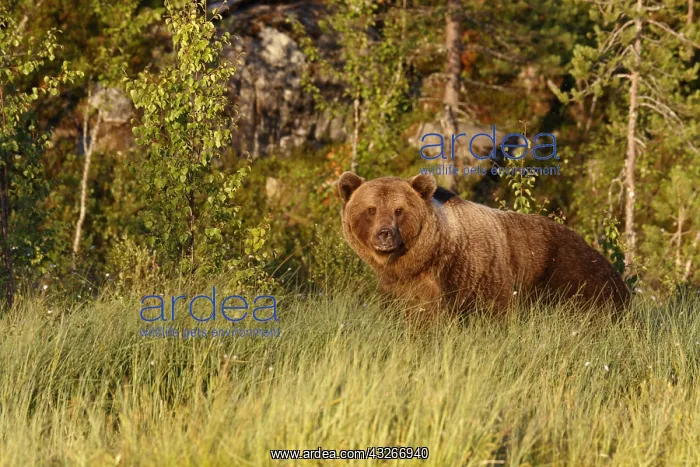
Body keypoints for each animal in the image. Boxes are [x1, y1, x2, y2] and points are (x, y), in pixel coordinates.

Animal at [338, 171, 630, 316]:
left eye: (399, 210)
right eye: (371, 209)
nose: (384, 234)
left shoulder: (473, 271)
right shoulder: (398, 287)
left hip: (572, 277)